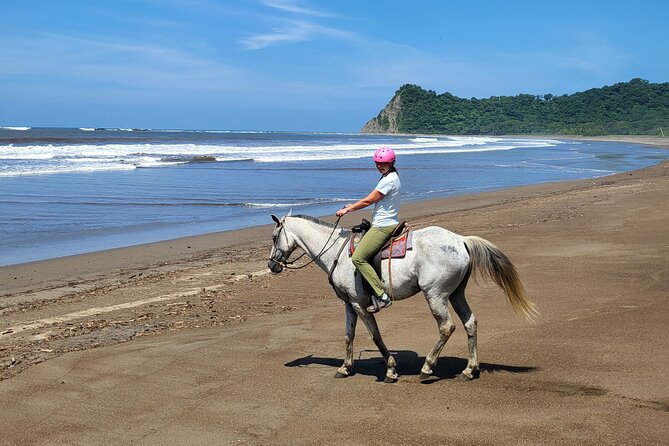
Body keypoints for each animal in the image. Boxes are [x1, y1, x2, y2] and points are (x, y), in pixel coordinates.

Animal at [268, 214, 536, 382]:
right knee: (470, 323)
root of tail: (461, 241)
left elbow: (375, 336)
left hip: (436, 295)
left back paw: (428, 367)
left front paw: (390, 370)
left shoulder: (360, 304)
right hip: (456, 294)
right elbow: (348, 336)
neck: (337, 252)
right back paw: (470, 370)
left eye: (273, 237)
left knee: (446, 327)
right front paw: (345, 368)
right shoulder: (348, 304)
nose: (272, 265)